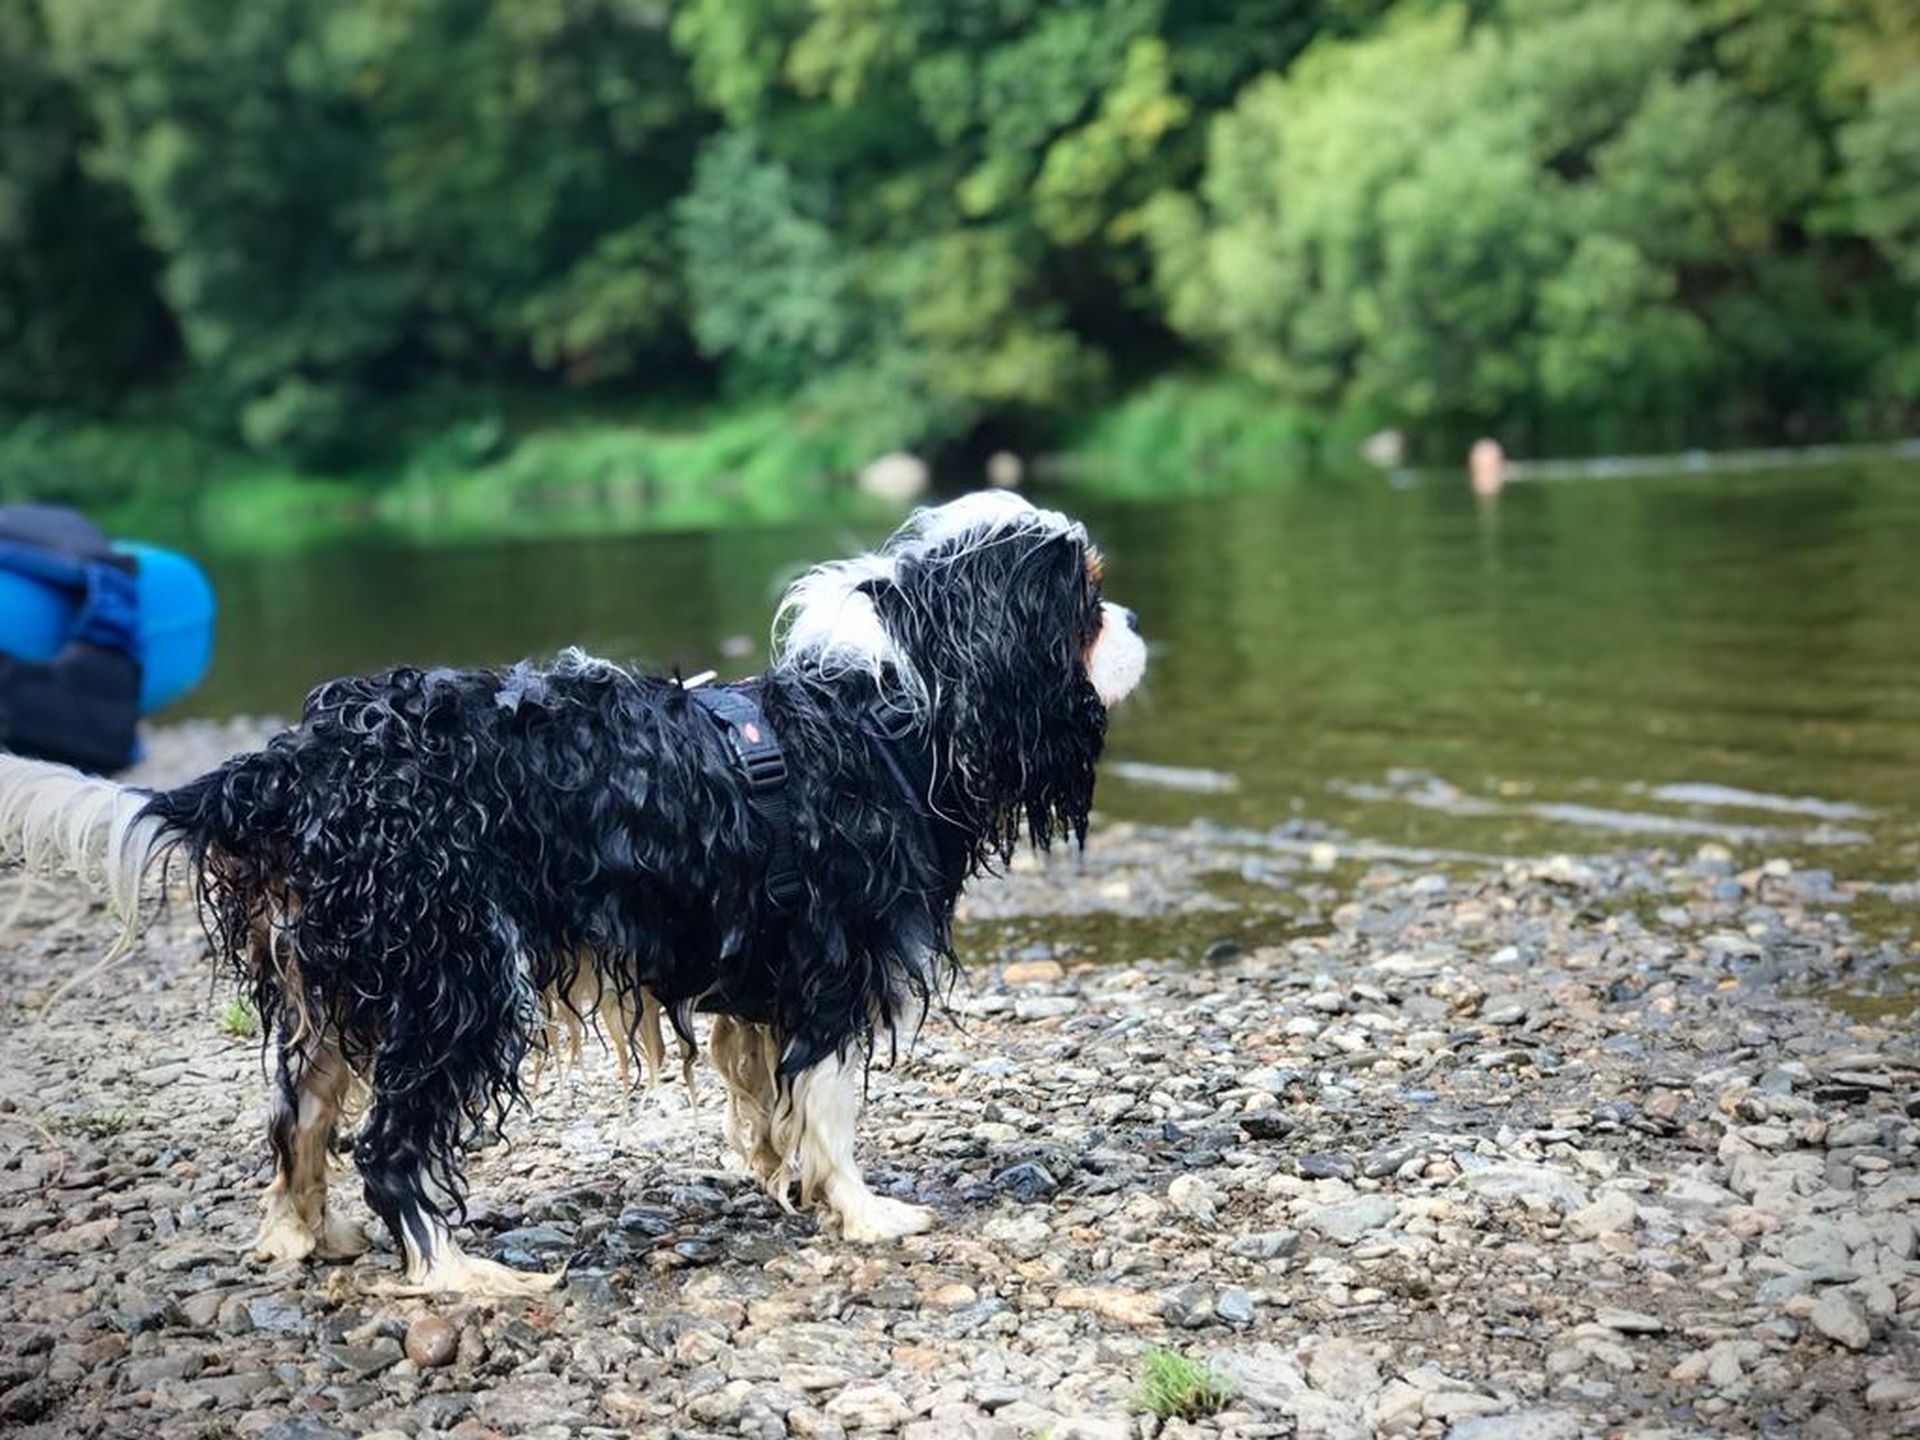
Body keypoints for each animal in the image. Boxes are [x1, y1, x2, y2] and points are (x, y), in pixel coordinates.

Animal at [0, 491, 1146, 1295]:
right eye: (1089, 604)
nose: (1139, 621)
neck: (886, 706)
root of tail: (296, 763)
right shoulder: (834, 963)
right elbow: (824, 1104)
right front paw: (864, 1215)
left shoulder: (761, 968)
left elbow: (764, 1097)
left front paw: (784, 1181)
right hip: (456, 975)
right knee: (389, 1144)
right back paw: (453, 1275)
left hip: (338, 981)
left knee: (300, 1118)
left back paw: (304, 1237)